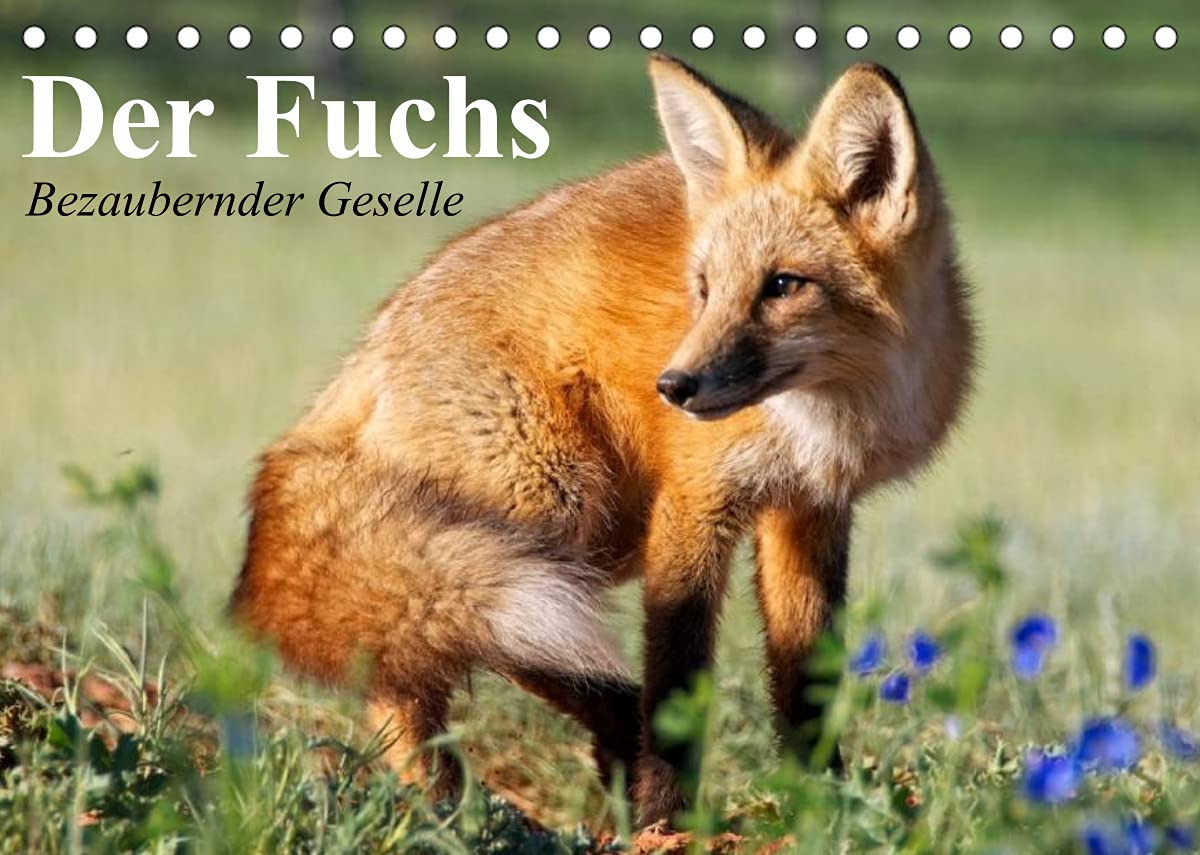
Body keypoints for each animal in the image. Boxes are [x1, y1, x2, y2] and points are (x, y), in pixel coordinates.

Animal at [230, 56, 974, 824]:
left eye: (784, 285)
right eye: (704, 288)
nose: (674, 386)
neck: (826, 418)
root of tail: (365, 353)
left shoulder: (809, 509)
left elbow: (808, 684)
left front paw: (824, 805)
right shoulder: (692, 504)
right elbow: (678, 677)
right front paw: (667, 819)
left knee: (411, 658)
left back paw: (468, 800)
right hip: (555, 512)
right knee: (429, 654)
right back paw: (466, 806)